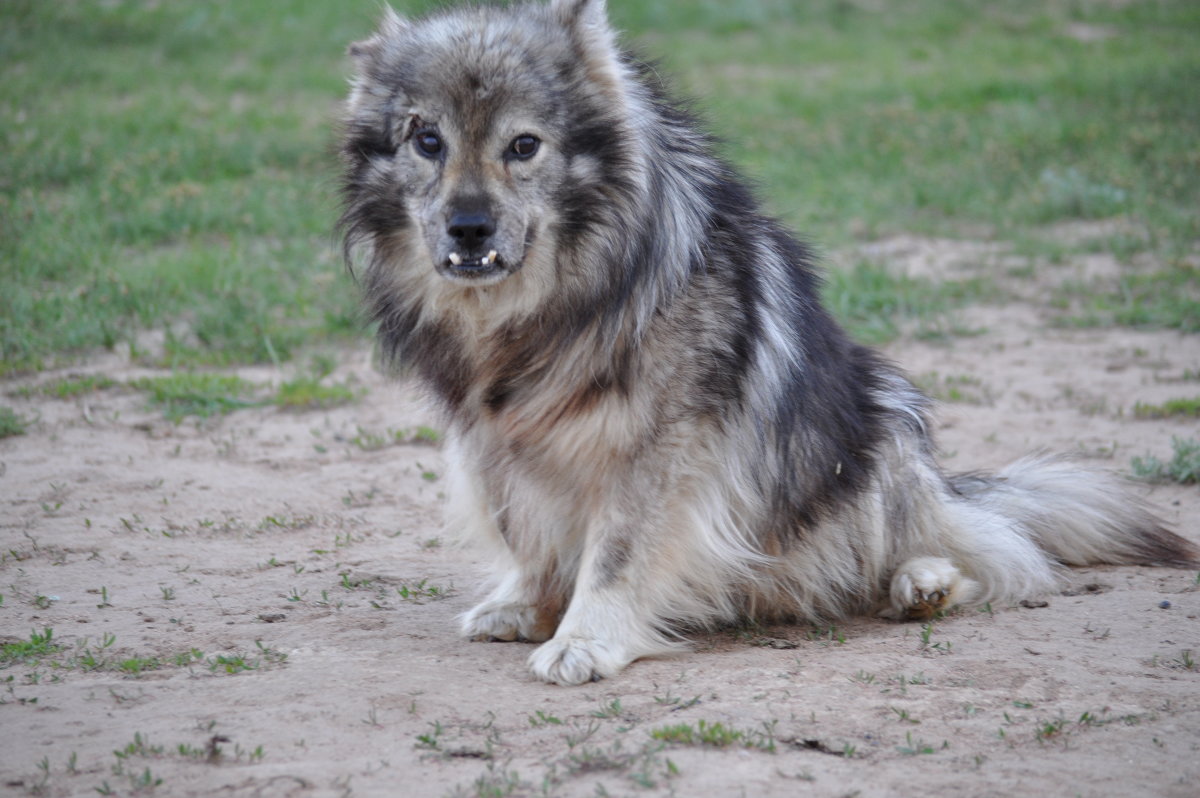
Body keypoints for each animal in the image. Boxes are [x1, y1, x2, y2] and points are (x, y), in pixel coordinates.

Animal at [336, 0, 1190, 686]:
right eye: (427, 141)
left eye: (523, 146)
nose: (468, 228)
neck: (551, 306)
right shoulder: (489, 440)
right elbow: (526, 534)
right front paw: (530, 604)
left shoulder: (659, 448)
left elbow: (615, 554)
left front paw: (586, 640)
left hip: (874, 428)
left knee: (968, 545)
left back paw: (924, 583)